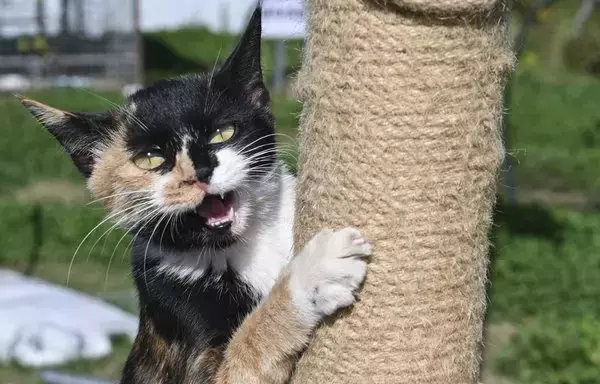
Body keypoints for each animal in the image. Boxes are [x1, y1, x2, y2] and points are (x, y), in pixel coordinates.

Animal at [21, 6, 372, 384]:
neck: (246, 246)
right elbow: (248, 345)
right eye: (150, 158)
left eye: (223, 132)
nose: (201, 171)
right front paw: (317, 270)